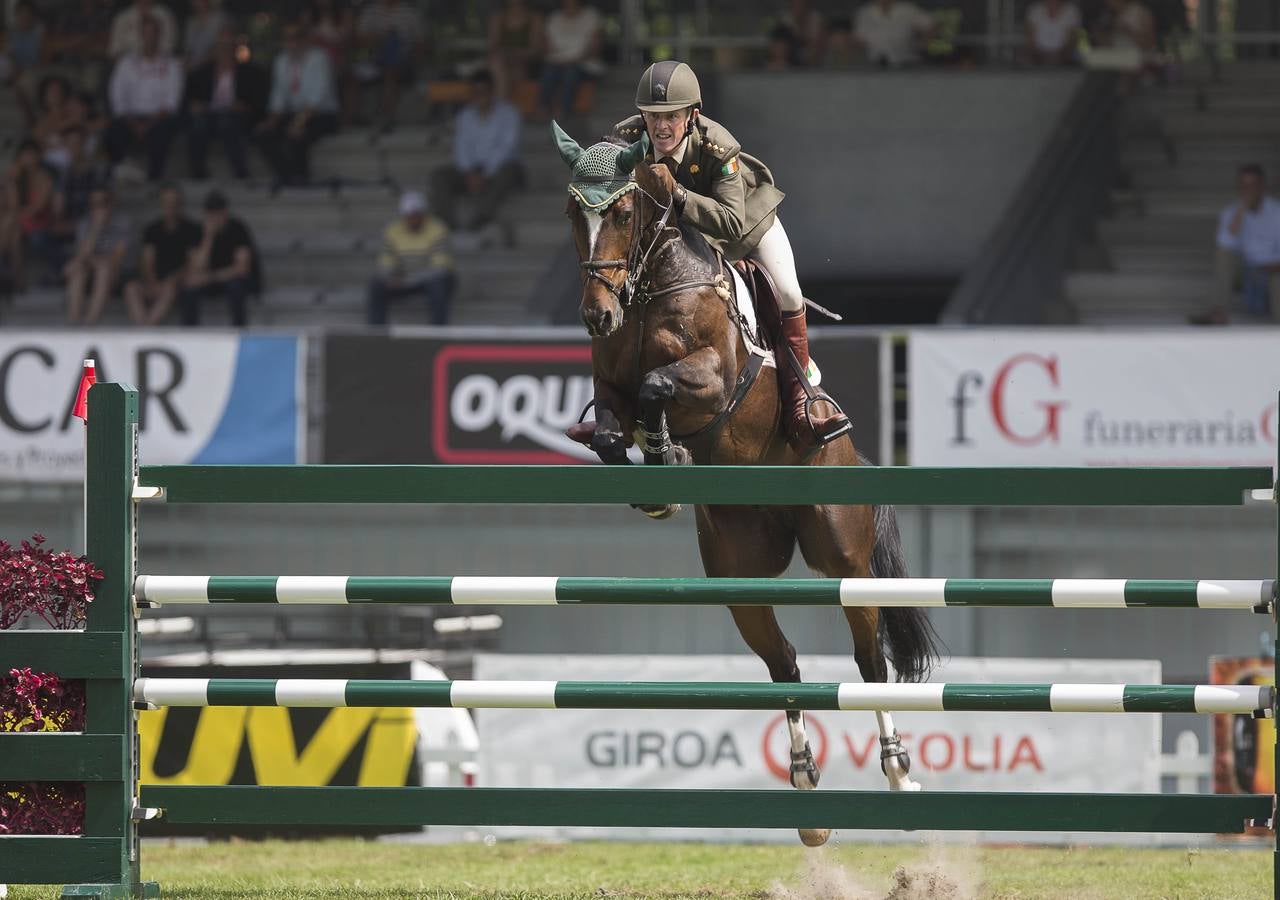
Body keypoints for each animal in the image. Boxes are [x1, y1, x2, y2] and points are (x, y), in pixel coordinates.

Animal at [550, 122, 942, 850]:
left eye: (621, 212)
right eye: (571, 214)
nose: (596, 317)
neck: (649, 288)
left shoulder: (710, 379)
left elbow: (660, 385)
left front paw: (666, 450)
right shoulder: (610, 388)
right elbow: (617, 426)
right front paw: (656, 473)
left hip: (841, 557)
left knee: (868, 658)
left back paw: (899, 771)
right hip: (739, 575)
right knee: (784, 663)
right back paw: (806, 792)